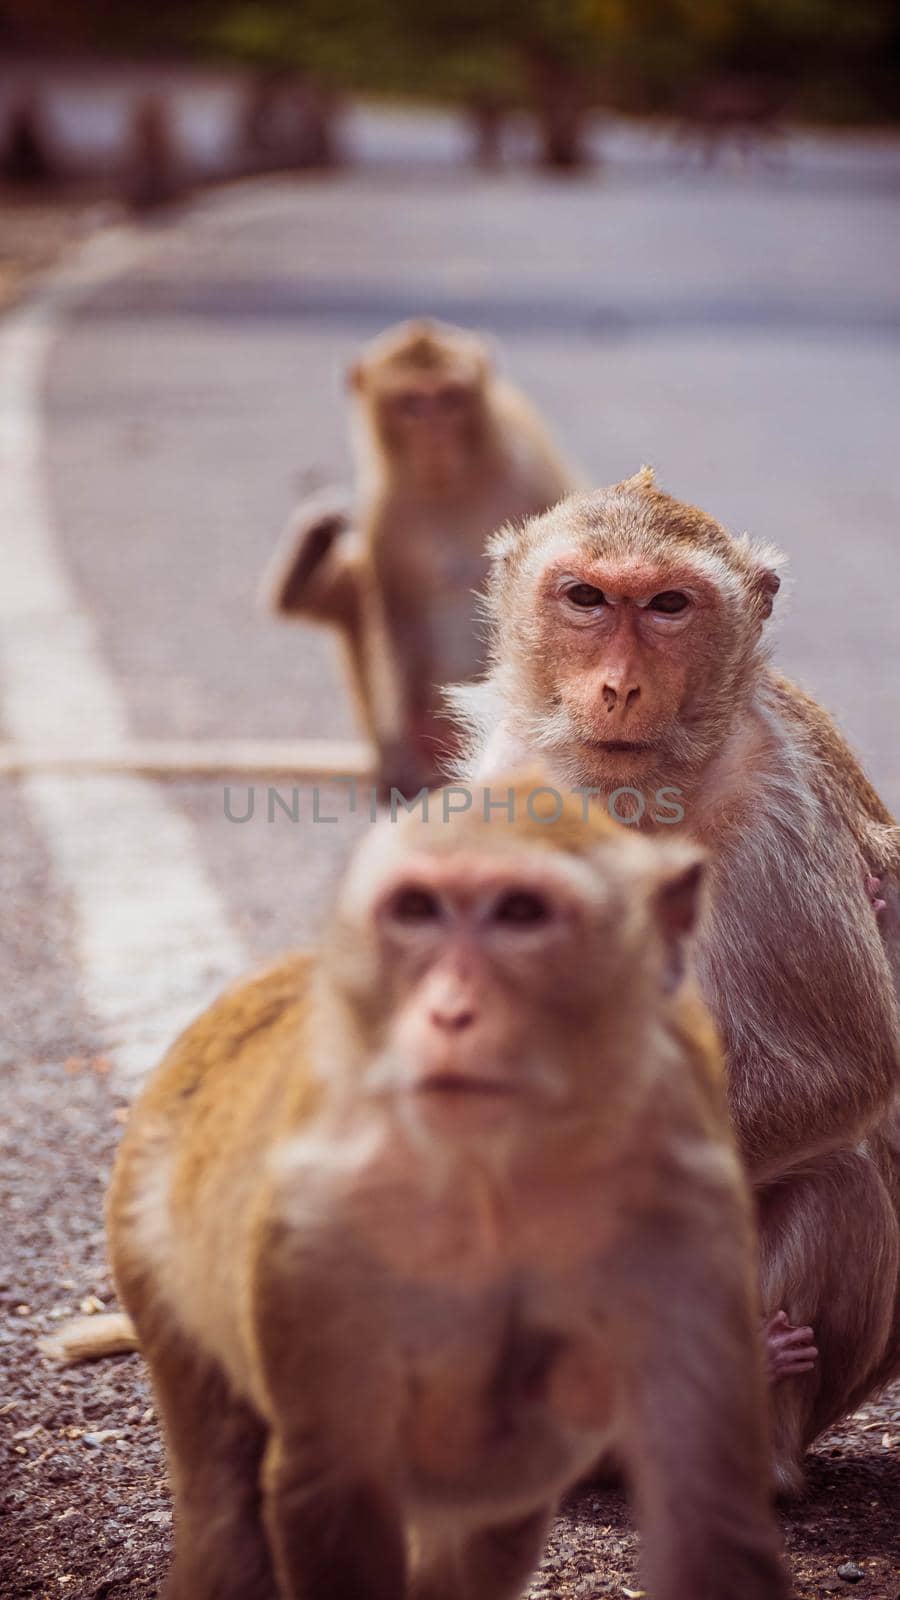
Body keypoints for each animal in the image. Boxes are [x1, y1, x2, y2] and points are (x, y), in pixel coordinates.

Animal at [94, 787, 781, 1600]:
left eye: (521, 912)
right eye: (418, 909)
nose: (451, 1011)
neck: (495, 1176)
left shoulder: (691, 1202)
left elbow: (708, 1504)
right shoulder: (318, 1221)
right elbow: (330, 1482)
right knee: (222, 1507)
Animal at [451, 467, 896, 1491]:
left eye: (667, 607)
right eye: (586, 598)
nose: (620, 686)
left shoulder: (780, 816)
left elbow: (839, 1068)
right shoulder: (503, 787)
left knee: (839, 1177)